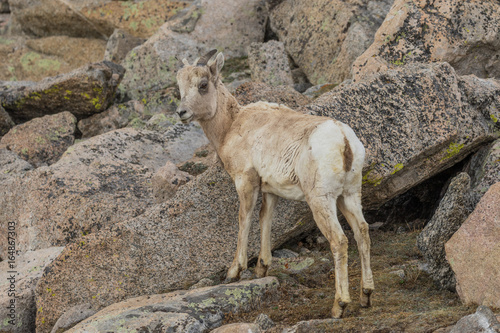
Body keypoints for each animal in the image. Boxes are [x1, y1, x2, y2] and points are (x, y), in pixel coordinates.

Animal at [177, 49, 376, 316]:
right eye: (180, 86)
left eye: (203, 84)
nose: (182, 113)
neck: (231, 126)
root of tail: (344, 141)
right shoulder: (270, 190)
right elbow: (266, 219)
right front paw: (262, 267)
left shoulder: (245, 181)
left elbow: (245, 219)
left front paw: (234, 272)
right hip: (350, 195)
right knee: (362, 232)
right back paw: (366, 296)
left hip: (321, 200)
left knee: (339, 240)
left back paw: (339, 306)